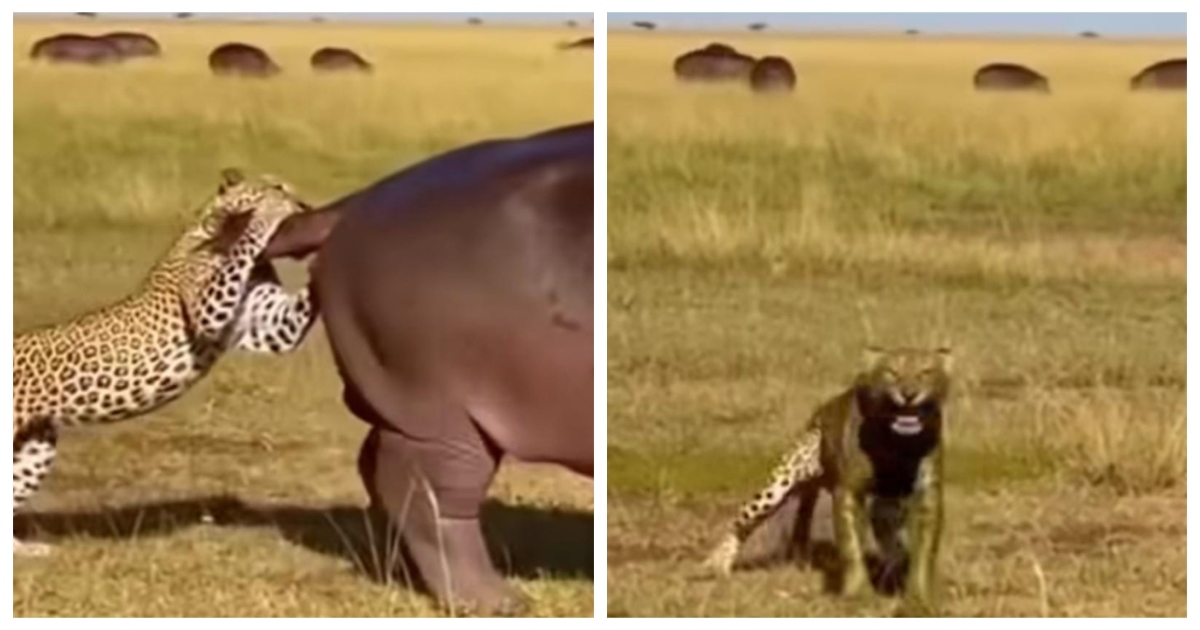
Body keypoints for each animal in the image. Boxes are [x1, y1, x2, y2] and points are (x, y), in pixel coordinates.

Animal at [12, 168, 319, 557]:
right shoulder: (211, 309)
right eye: (276, 185)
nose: (304, 205)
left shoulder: (266, 325)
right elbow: (244, 243)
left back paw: (25, 549)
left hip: (35, 444)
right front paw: (270, 212)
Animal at [703, 346, 953, 614]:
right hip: (781, 481)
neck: (898, 443)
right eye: (891, 372)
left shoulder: (928, 494)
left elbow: (924, 551)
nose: (908, 394)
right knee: (741, 521)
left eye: (926, 371)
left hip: (884, 507)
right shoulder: (848, 491)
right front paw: (859, 595)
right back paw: (716, 565)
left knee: (891, 542)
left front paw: (918, 601)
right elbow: (851, 546)